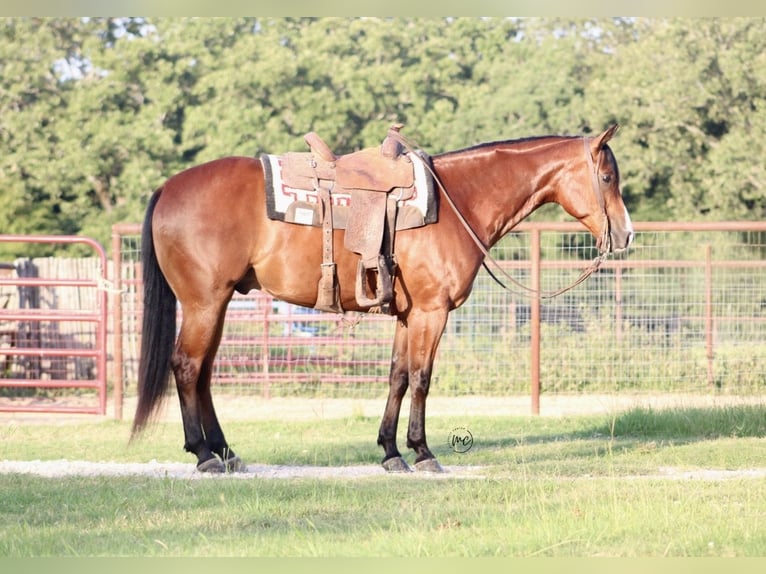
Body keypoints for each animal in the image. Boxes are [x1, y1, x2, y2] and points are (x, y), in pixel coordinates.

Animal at [131, 124, 633, 473]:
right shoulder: (432, 312)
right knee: (188, 367)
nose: (626, 234)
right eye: (608, 176)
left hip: (216, 307)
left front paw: (392, 452)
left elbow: (397, 377)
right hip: (204, 304)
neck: (457, 202)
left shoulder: (409, 316)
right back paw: (204, 454)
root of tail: (168, 187)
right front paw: (423, 451)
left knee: (204, 373)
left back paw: (226, 451)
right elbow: (422, 378)